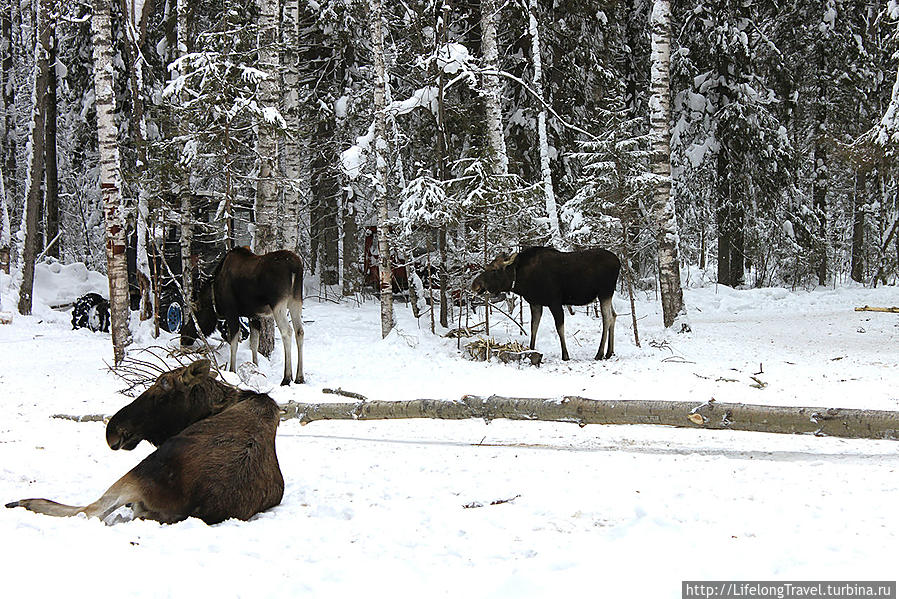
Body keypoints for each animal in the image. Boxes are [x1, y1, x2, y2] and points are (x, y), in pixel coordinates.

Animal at [4, 360, 284, 524]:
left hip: (137, 473)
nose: (112, 429)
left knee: (88, 512)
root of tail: (196, 509)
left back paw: (22, 502)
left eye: (163, 385)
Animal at [181, 246, 304, 386]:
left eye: (193, 316)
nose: (183, 337)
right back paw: (299, 377)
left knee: (287, 332)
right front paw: (255, 367)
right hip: (296, 300)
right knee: (299, 331)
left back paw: (287, 377)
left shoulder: (231, 312)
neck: (215, 297)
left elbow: (234, 342)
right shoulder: (254, 316)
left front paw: (232, 370)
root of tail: (295, 267)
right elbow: (254, 343)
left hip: (278, 304)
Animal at [472, 247, 620, 360]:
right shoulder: (535, 303)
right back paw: (609, 352)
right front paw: (530, 350)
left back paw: (599, 353)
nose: (475, 284)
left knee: (607, 318)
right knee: (614, 315)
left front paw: (565, 355)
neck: (519, 280)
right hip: (607, 294)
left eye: (494, 269)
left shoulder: (554, 302)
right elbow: (534, 326)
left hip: (604, 292)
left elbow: (559, 328)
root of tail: (618, 262)